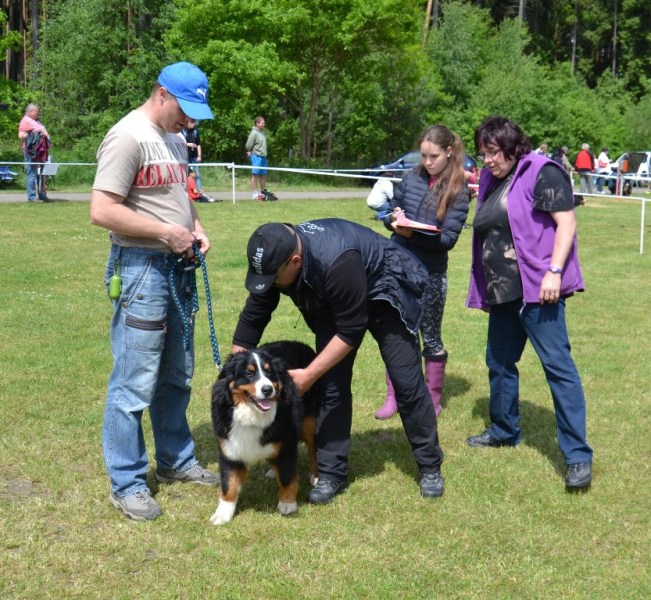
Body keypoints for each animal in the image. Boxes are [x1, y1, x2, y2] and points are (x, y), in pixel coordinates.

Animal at [210, 342, 320, 524]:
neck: (252, 415)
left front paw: (287, 504)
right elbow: (228, 484)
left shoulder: (286, 446)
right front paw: (223, 513)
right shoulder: (229, 449)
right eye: (249, 373)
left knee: (313, 449)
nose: (267, 389)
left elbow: (287, 478)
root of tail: (301, 344)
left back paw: (315, 475)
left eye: (269, 372)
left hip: (308, 422)